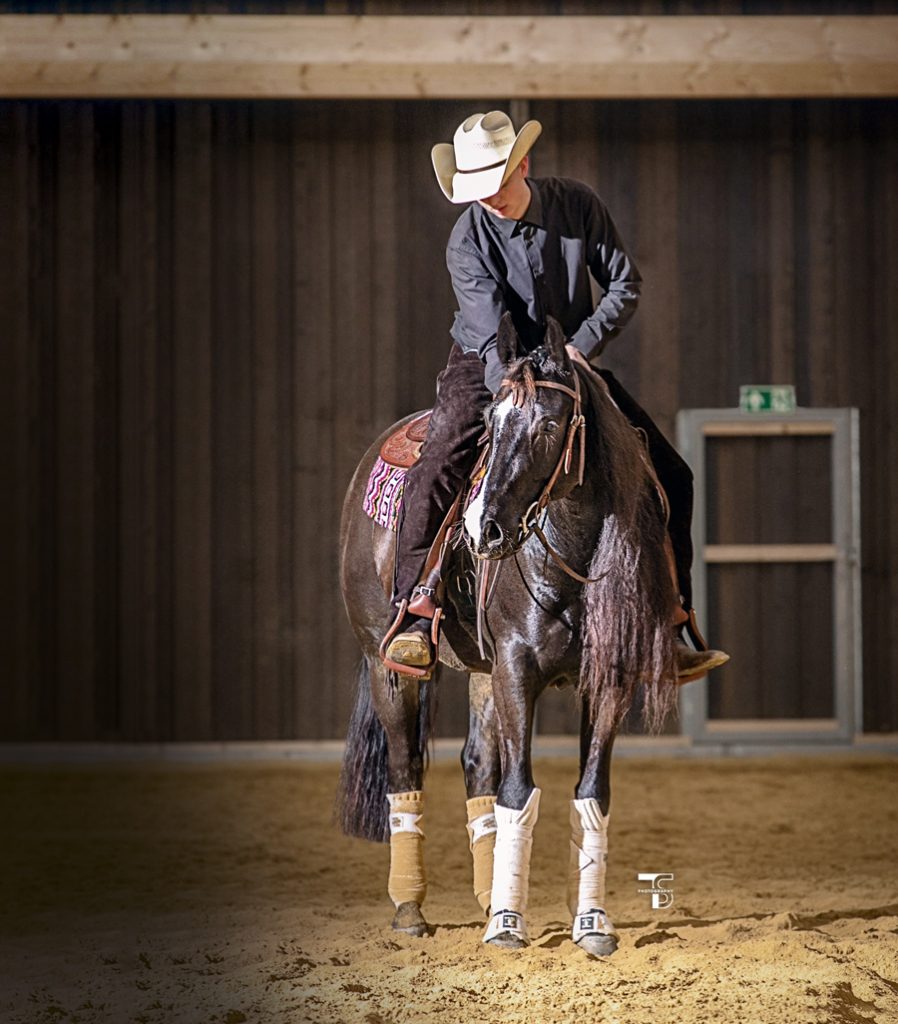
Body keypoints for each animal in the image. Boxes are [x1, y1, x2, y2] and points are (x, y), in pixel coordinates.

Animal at [337, 314, 679, 954]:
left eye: (548, 425)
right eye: (491, 425)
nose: (482, 528)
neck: (571, 556)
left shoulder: (607, 680)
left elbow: (590, 792)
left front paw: (589, 923)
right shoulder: (518, 668)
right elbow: (519, 791)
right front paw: (506, 926)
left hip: (481, 671)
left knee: (476, 764)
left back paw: (486, 891)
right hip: (384, 661)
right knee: (405, 767)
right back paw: (411, 909)